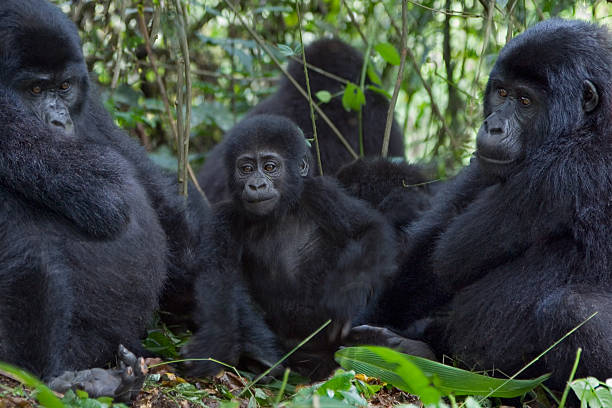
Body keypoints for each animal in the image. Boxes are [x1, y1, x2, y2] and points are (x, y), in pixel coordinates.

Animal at [0, 0, 209, 400]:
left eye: (64, 86)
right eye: (34, 89)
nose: (58, 121)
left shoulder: (91, 104)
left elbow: (151, 189)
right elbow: (107, 190)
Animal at [184, 115, 418, 380]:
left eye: (270, 167)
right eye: (246, 169)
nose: (256, 185)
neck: (280, 212)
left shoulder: (321, 193)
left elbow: (368, 229)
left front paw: (346, 296)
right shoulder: (223, 217)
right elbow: (219, 279)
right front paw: (214, 343)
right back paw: (261, 357)